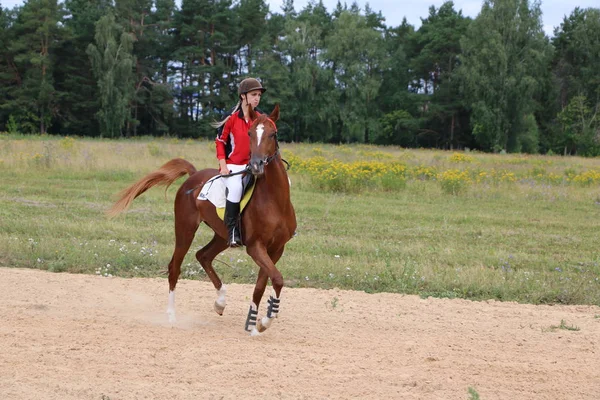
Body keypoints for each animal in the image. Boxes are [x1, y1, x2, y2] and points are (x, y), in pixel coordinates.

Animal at [109, 104, 296, 336]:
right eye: (250, 134)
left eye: (273, 134)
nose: (255, 165)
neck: (274, 200)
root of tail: (194, 175)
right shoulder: (256, 247)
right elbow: (277, 279)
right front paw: (264, 322)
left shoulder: (276, 249)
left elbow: (262, 286)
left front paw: (253, 324)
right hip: (185, 229)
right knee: (175, 267)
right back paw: (172, 316)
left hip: (222, 236)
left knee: (203, 256)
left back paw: (220, 302)